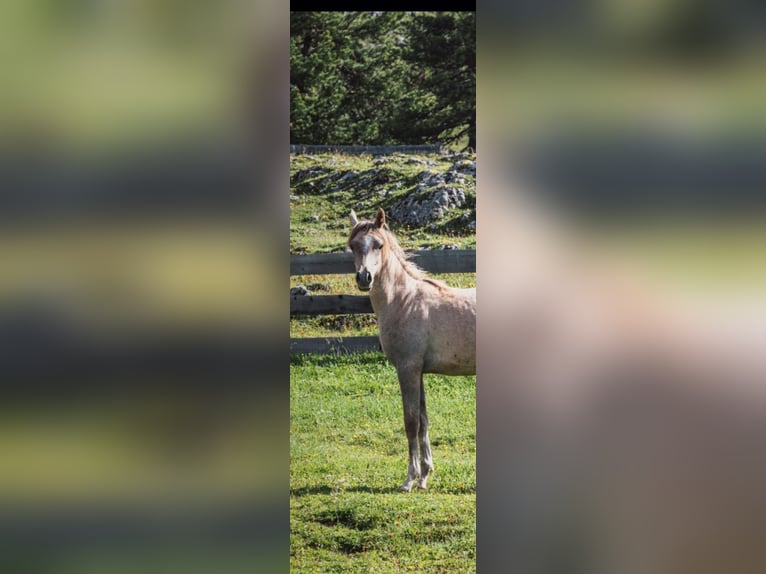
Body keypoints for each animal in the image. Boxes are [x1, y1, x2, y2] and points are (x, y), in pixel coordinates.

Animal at [346, 209, 474, 492]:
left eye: (379, 245)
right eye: (353, 246)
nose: (364, 278)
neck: (404, 300)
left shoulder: (407, 369)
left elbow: (411, 421)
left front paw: (410, 479)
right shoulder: (419, 372)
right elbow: (423, 421)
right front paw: (425, 475)